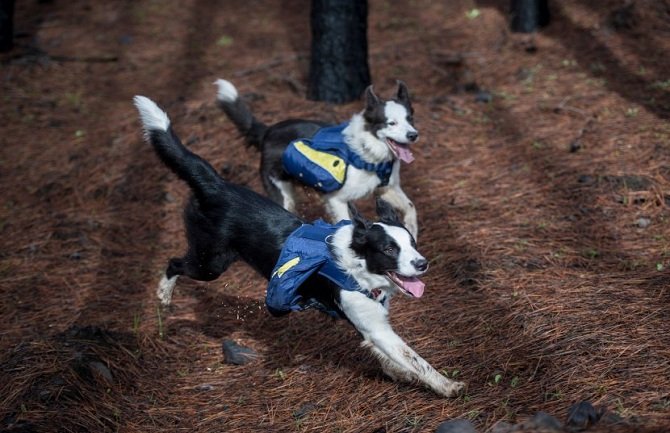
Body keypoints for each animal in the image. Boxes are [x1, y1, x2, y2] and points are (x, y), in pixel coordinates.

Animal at [134, 95, 464, 398]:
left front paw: (396, 373)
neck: (358, 267)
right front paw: (447, 385)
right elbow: (416, 359)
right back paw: (163, 296)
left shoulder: (372, 322)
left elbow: (388, 355)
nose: (423, 264)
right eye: (389, 250)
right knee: (174, 262)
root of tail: (217, 185)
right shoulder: (377, 327)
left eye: (412, 243)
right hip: (210, 262)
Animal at [218, 79, 422, 238]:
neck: (369, 149)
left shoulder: (386, 188)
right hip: (281, 194)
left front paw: (411, 231)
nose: (413, 135)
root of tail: (268, 131)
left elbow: (411, 207)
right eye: (391, 123)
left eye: (410, 119)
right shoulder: (337, 199)